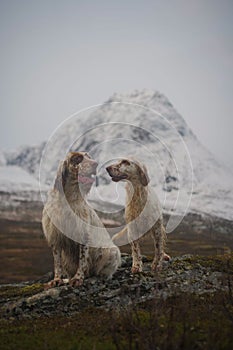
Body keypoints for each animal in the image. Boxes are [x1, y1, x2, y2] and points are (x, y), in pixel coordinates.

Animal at [41, 152, 121, 288]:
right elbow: (57, 263)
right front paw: (57, 279)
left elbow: (82, 260)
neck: (68, 199)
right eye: (77, 158)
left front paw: (78, 278)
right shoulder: (55, 237)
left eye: (89, 157)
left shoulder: (83, 234)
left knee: (103, 272)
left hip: (113, 251)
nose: (96, 164)